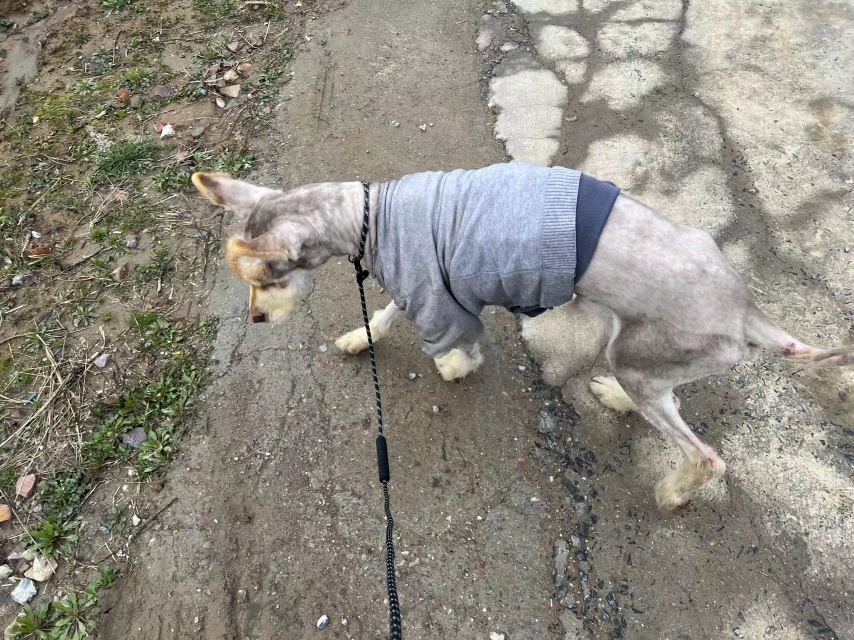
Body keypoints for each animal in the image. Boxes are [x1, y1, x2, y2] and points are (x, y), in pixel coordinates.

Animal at [191, 165, 853, 510]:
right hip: (646, 356)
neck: (366, 218)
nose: (255, 321)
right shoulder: (413, 287)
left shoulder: (441, 300)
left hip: (645, 354)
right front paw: (359, 337)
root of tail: (746, 311)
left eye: (263, 280)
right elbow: (382, 317)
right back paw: (616, 398)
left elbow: (457, 350)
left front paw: (455, 368)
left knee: (706, 455)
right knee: (663, 399)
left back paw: (672, 489)